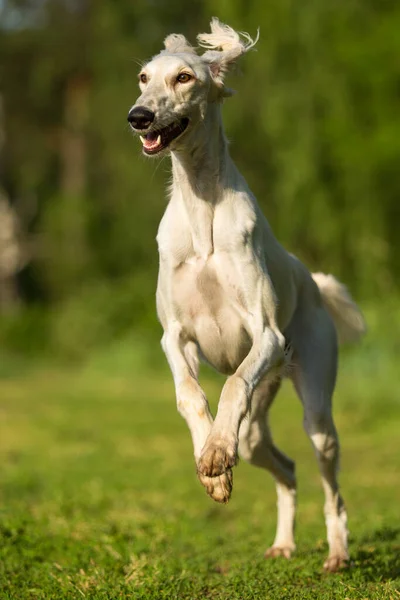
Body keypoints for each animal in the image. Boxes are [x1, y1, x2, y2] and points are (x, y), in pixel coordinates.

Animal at [127, 17, 366, 572]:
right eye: (144, 78)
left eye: (184, 77)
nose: (138, 116)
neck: (202, 213)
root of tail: (312, 281)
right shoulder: (175, 337)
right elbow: (190, 395)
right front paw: (211, 466)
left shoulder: (267, 336)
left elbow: (234, 383)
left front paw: (217, 452)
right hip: (258, 430)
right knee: (286, 467)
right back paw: (283, 541)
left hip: (315, 405)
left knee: (331, 488)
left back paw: (337, 553)